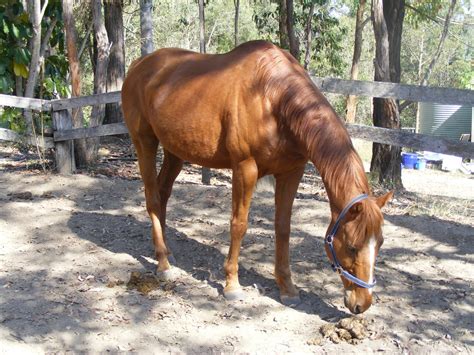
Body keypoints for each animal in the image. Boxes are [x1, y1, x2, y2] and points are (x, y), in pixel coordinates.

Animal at [122, 41, 392, 314]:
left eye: (380, 243)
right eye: (352, 246)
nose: (362, 304)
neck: (272, 97)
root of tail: (138, 65)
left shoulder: (291, 172)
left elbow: (283, 227)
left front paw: (287, 288)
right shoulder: (245, 169)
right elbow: (239, 225)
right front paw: (232, 285)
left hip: (174, 152)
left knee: (163, 194)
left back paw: (168, 253)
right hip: (144, 142)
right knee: (153, 198)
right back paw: (163, 263)